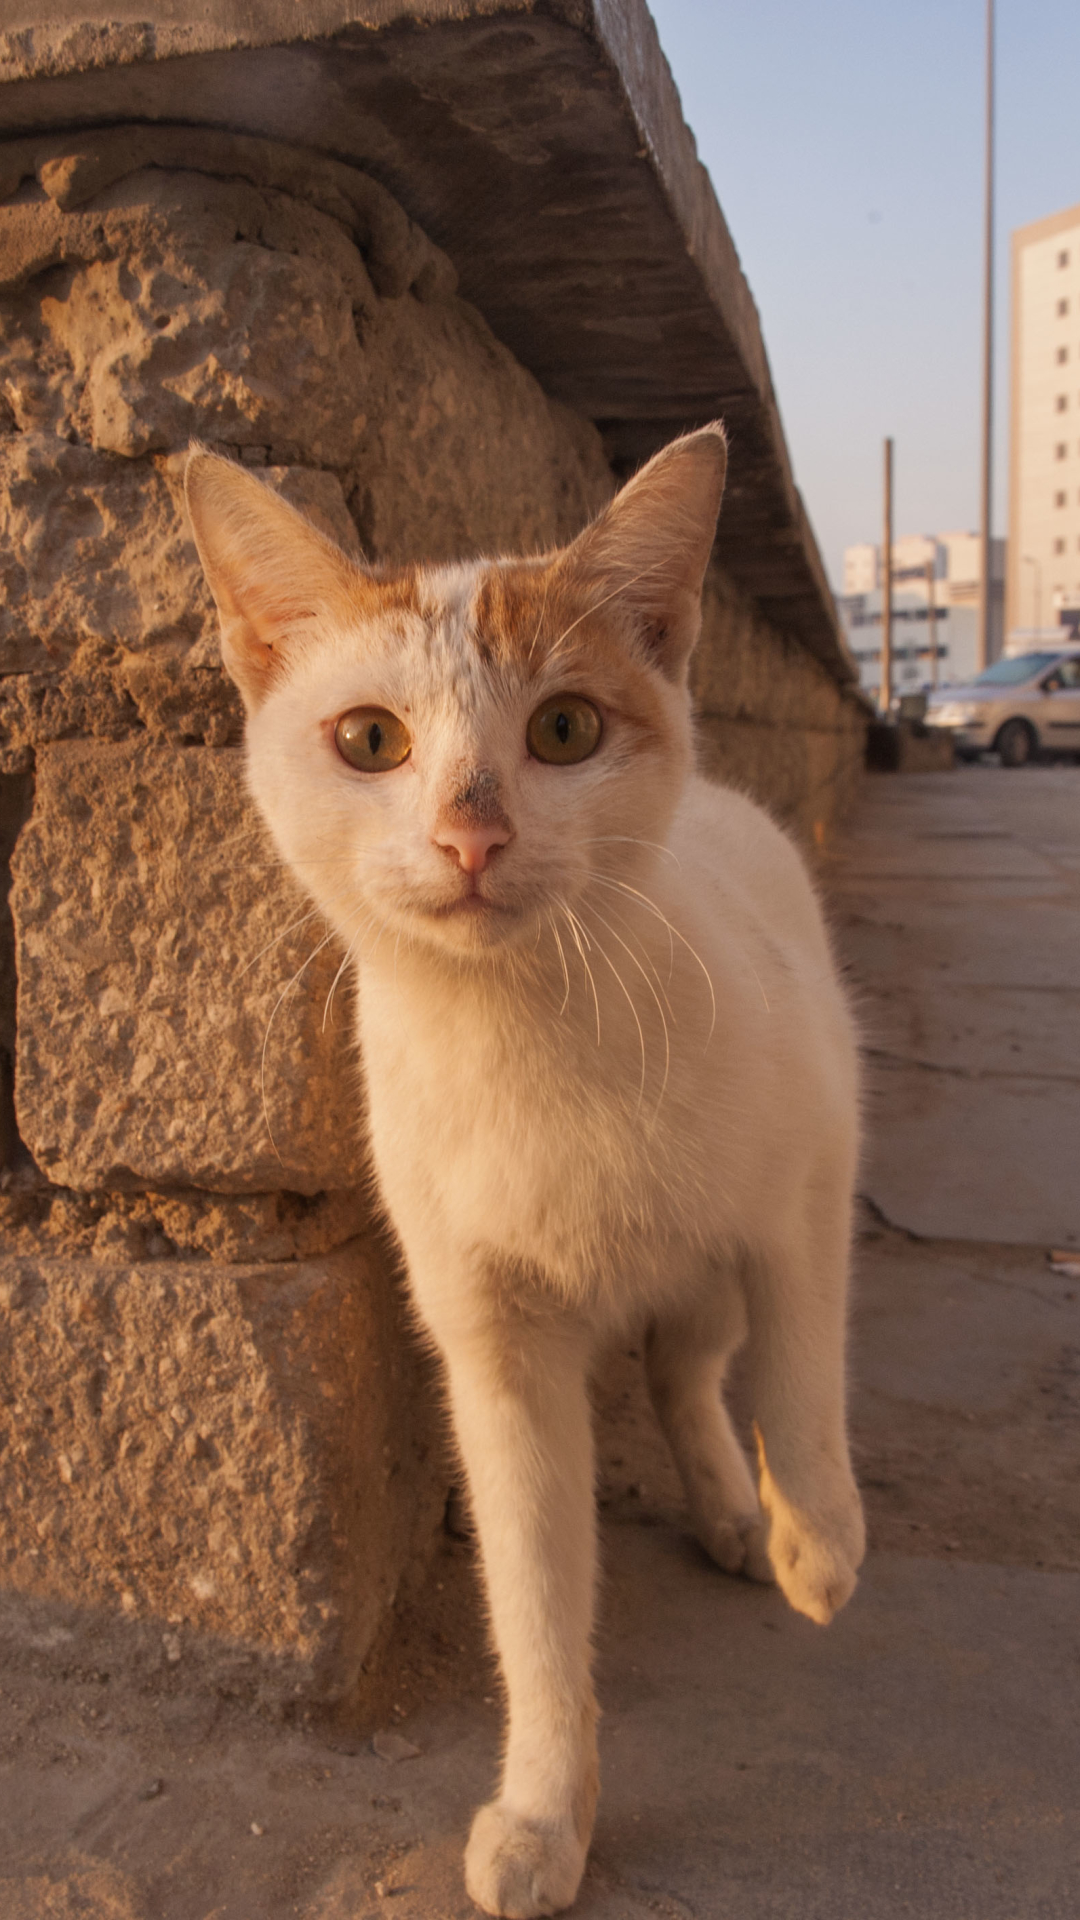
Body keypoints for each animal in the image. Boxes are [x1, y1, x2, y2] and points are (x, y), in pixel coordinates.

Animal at [182, 432, 857, 1920]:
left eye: (564, 732)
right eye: (370, 740)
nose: (471, 834)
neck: (531, 1035)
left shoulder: (820, 1156)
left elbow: (804, 1353)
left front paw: (821, 1542)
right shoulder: (493, 1347)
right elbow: (536, 1601)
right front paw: (550, 1814)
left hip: (721, 1244)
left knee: (706, 1356)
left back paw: (754, 1518)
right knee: (675, 1370)